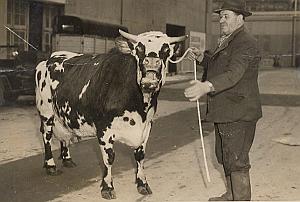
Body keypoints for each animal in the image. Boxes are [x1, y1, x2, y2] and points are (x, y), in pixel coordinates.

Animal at [34, 30, 185, 199]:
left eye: (166, 51)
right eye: (138, 50)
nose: (149, 78)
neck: (140, 106)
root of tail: (51, 58)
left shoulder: (147, 127)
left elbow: (140, 156)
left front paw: (142, 184)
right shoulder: (104, 129)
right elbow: (109, 158)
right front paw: (107, 187)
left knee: (65, 136)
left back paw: (67, 159)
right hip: (46, 111)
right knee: (46, 136)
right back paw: (50, 165)